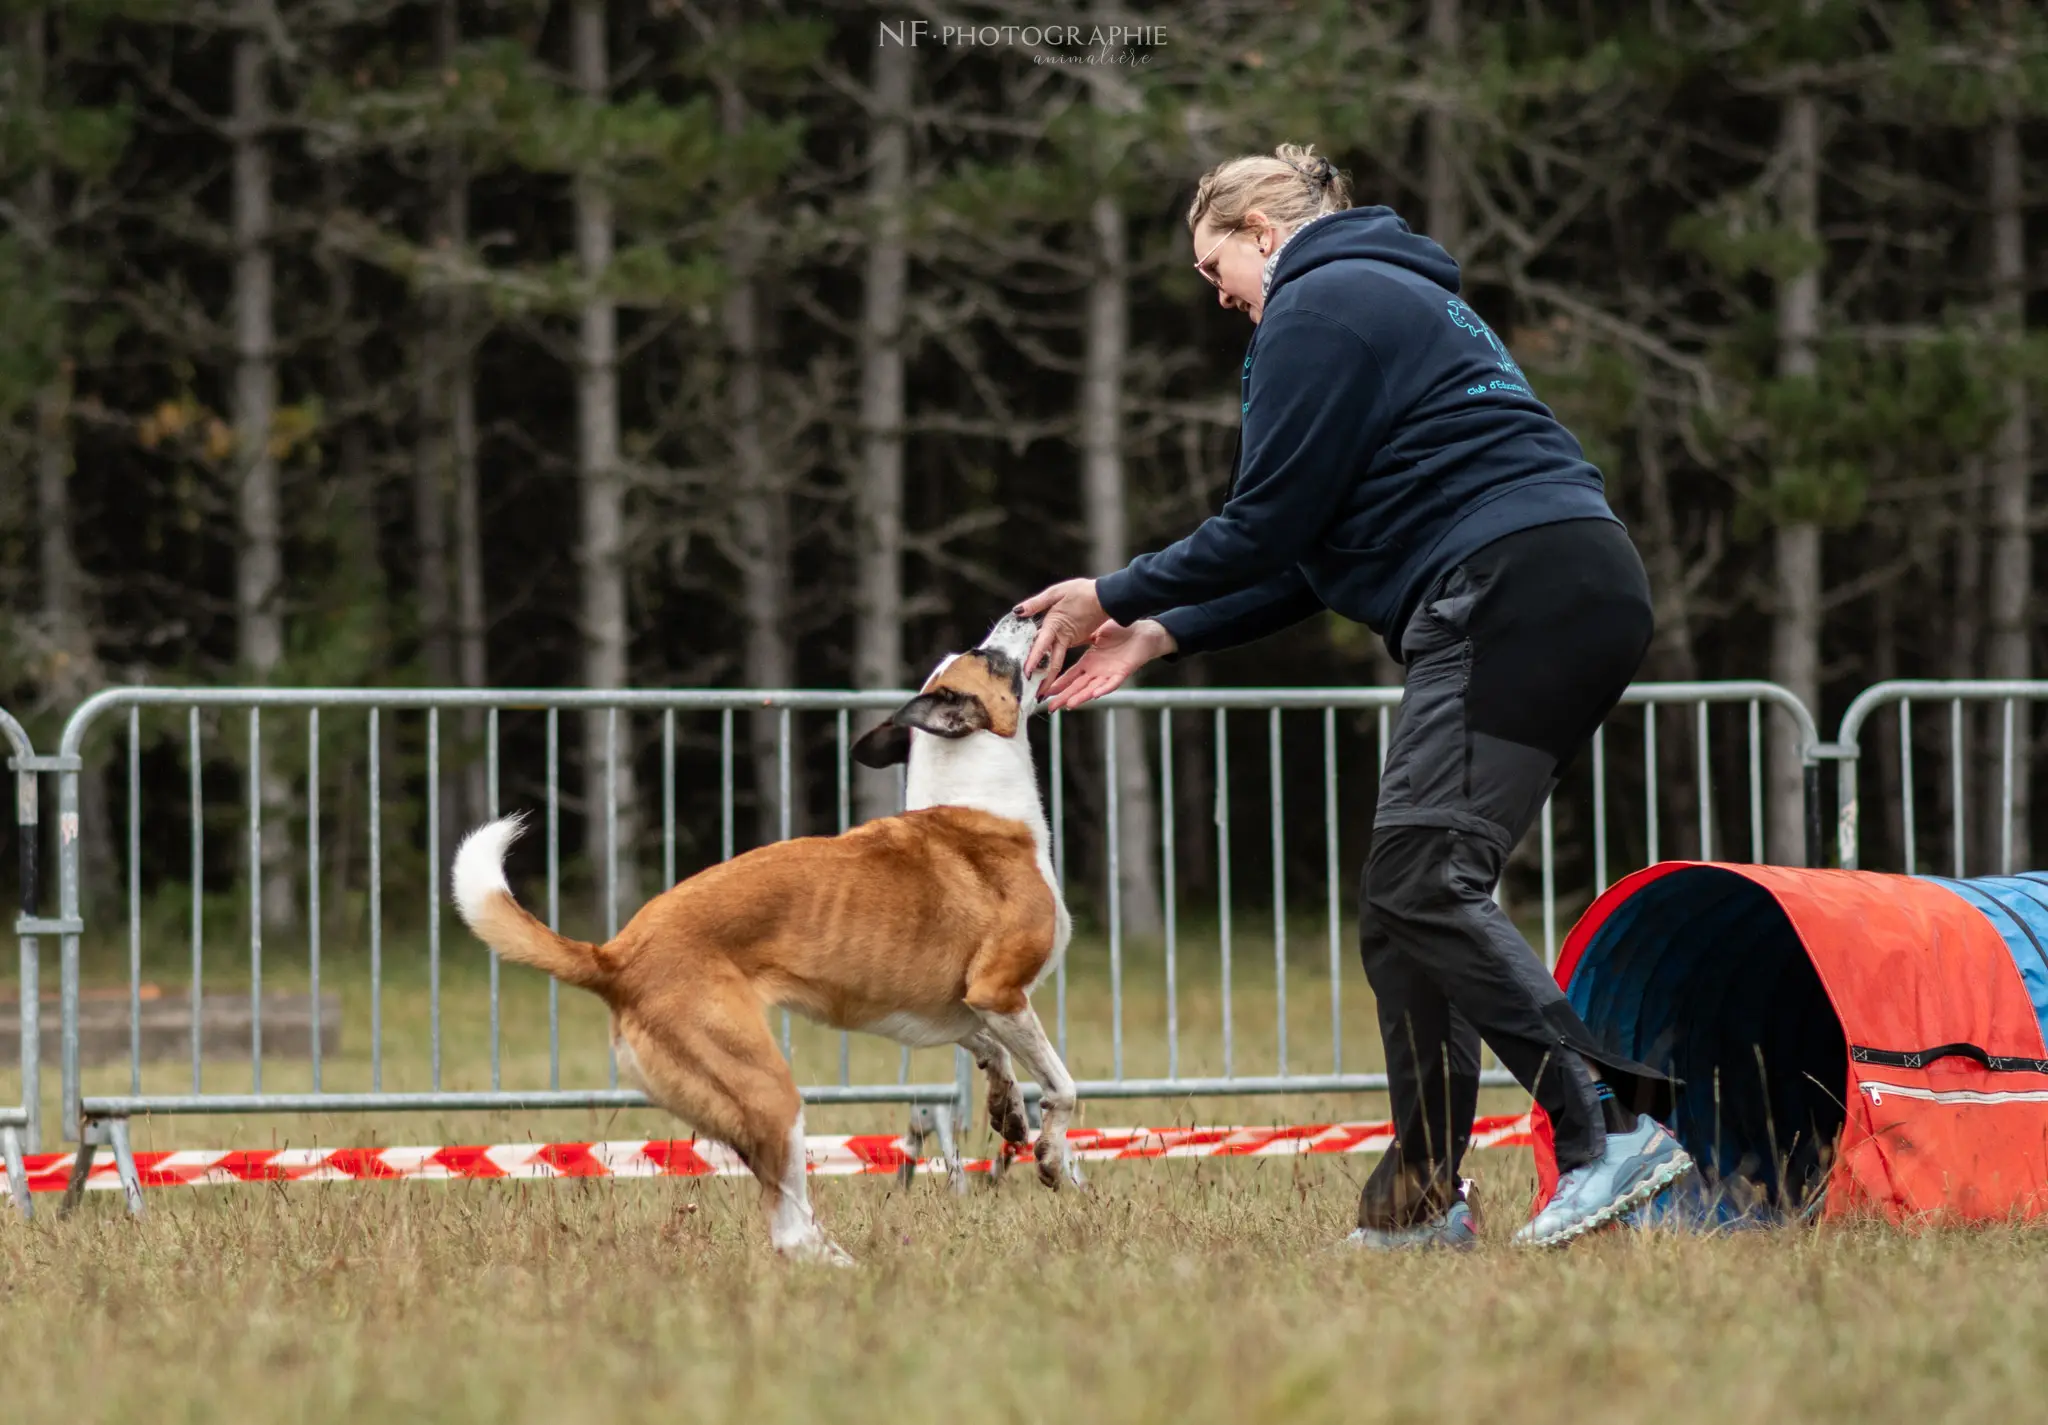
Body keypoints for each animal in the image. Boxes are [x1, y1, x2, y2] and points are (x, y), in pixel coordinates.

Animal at [446, 614, 1073, 1261]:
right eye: (985, 654)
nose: (1028, 612)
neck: (977, 805)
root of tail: (615, 957)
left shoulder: (964, 1008)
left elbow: (995, 1054)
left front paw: (1008, 1112)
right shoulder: (1000, 992)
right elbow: (1062, 1086)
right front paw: (1051, 1156)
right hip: (769, 1092)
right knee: (789, 1228)